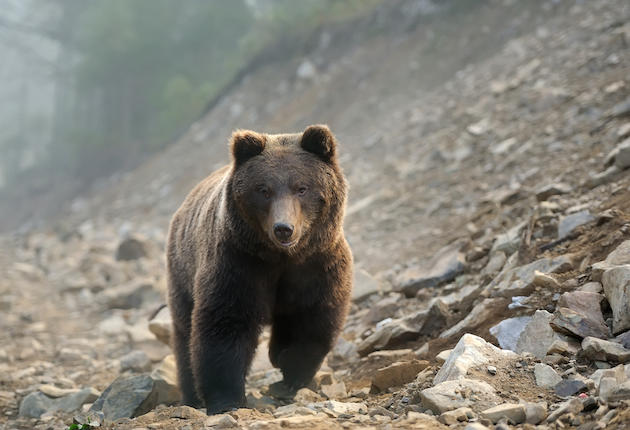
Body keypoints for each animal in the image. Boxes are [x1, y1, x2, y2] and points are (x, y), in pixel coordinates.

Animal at [167, 123, 356, 414]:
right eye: (263, 189)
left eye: (301, 187)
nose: (283, 228)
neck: (281, 256)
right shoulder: (239, 263)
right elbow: (225, 322)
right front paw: (226, 399)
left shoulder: (317, 264)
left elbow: (310, 317)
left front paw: (290, 369)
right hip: (182, 270)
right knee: (184, 332)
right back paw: (191, 395)